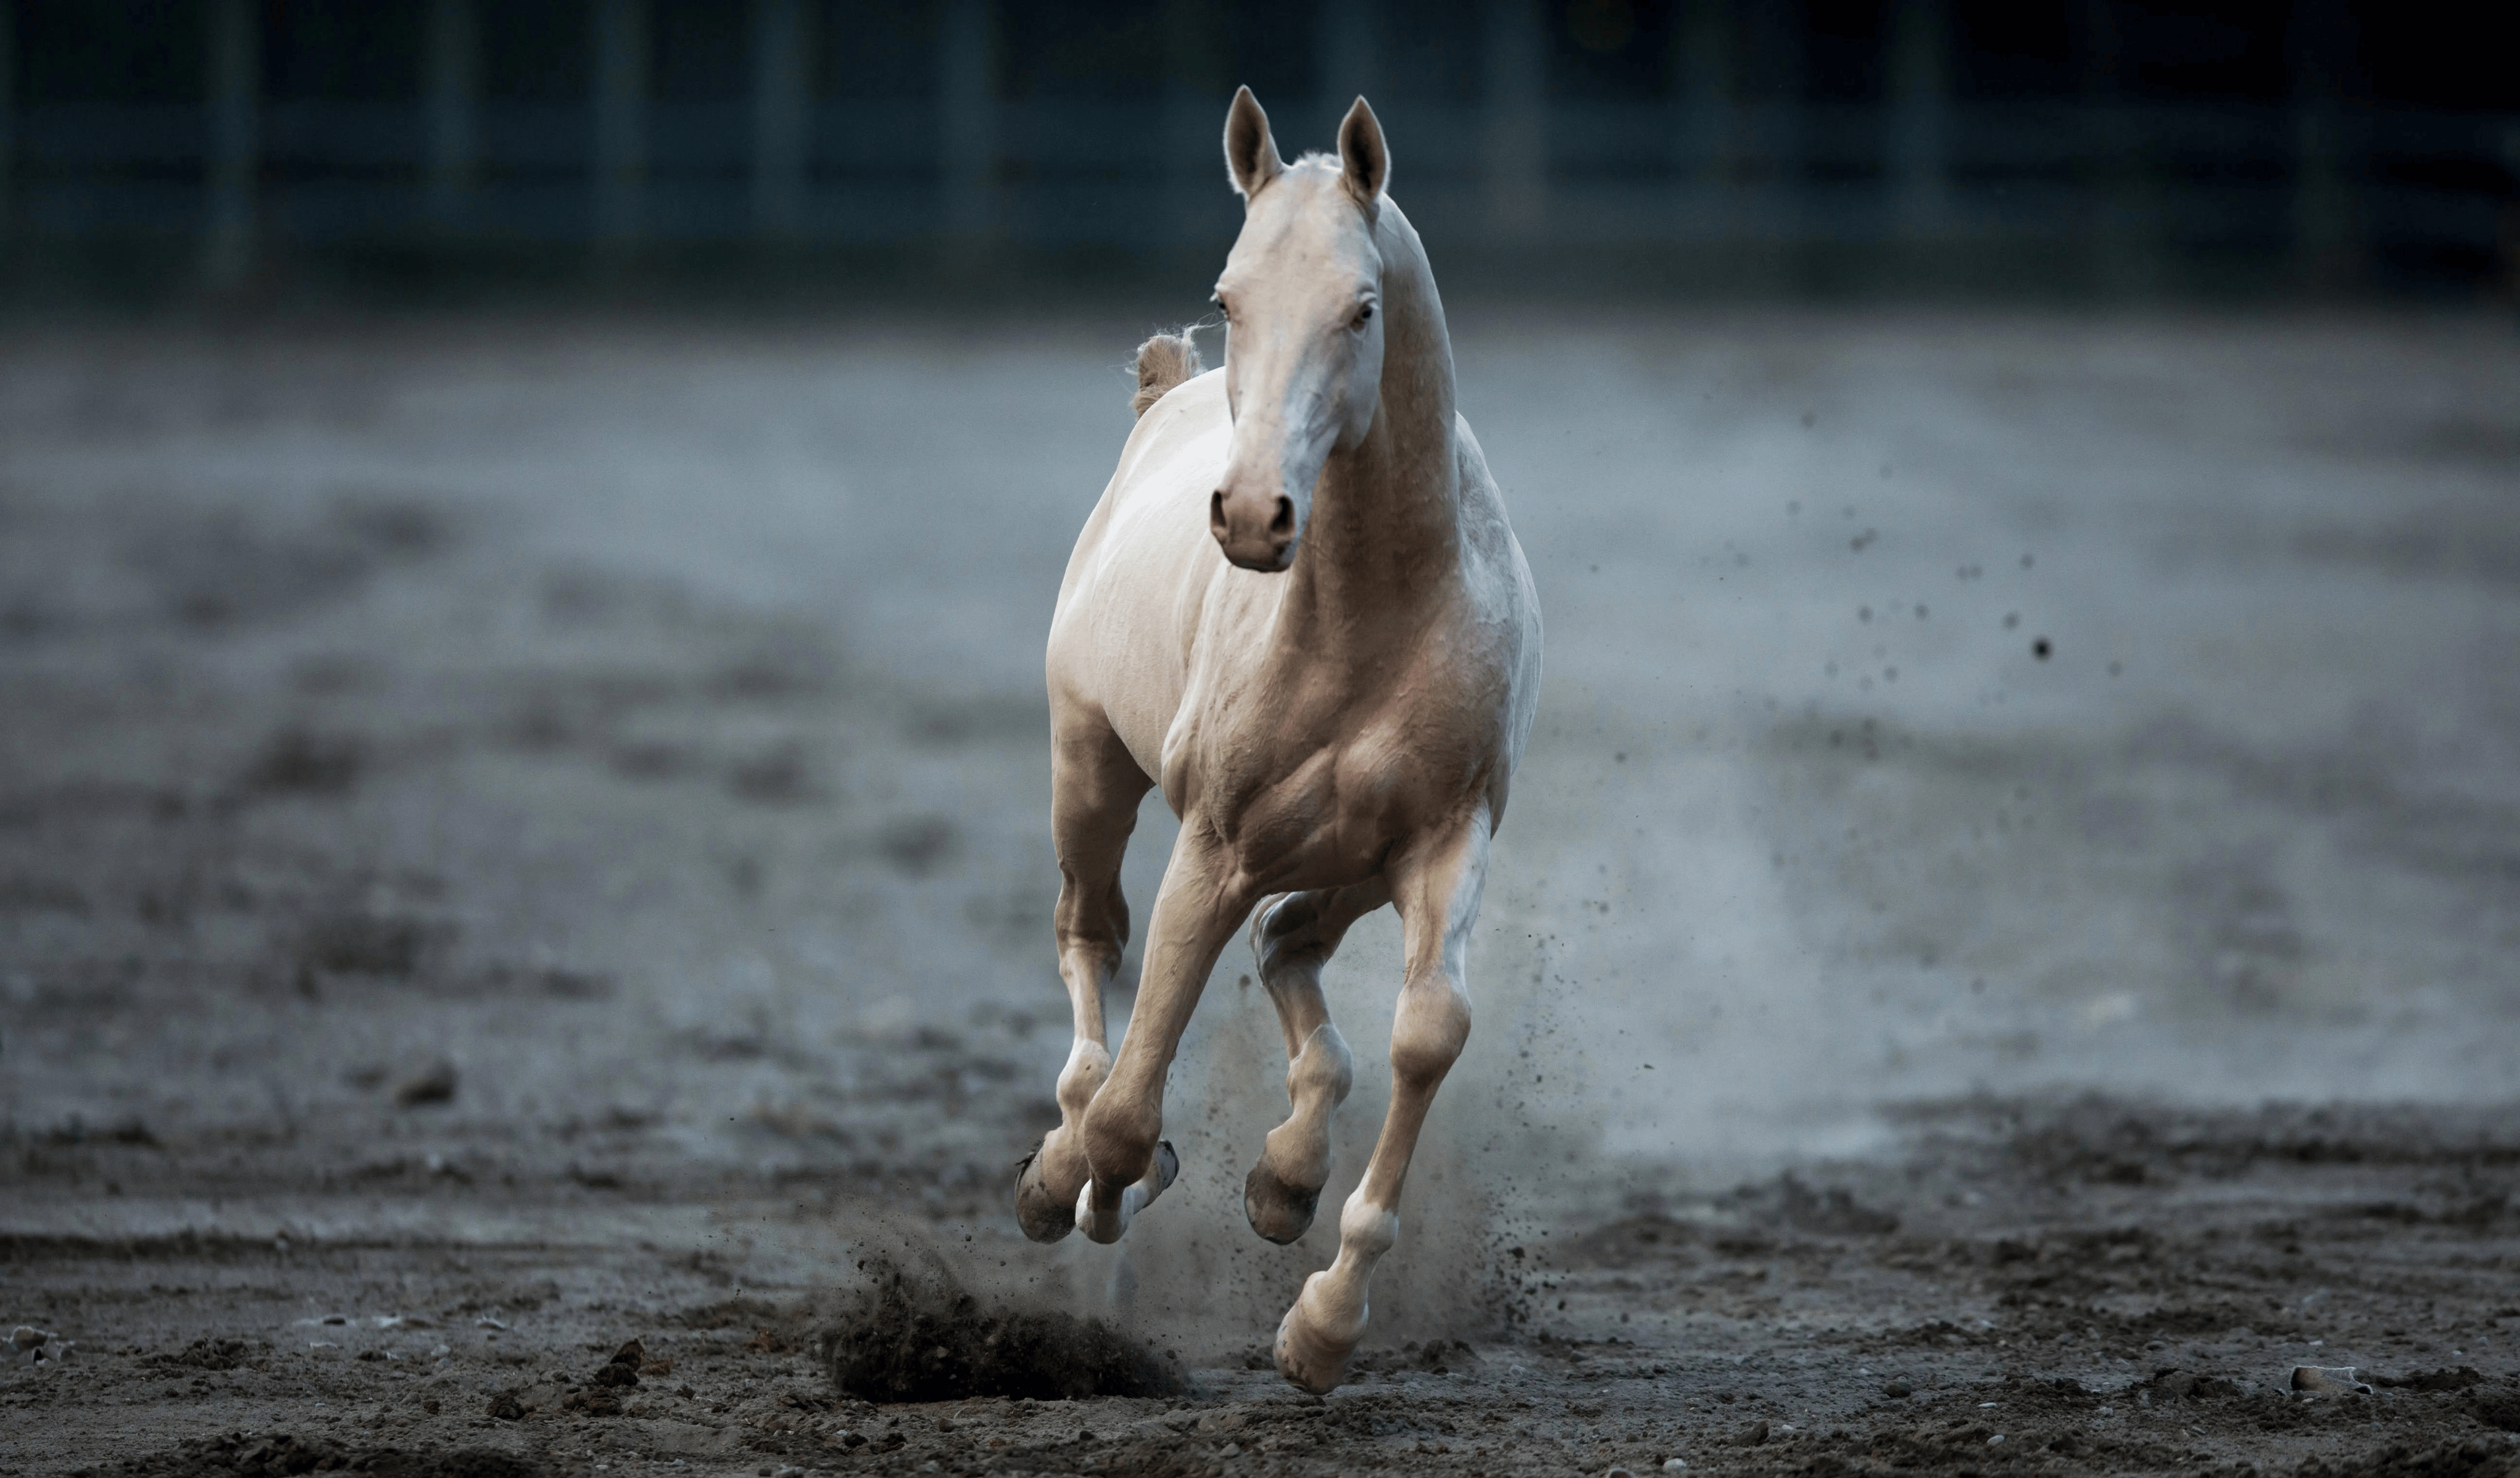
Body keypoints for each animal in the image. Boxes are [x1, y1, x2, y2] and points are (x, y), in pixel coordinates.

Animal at [1008, 83, 1532, 1392]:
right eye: (1229, 295)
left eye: (1360, 307)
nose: (1251, 516)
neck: (1371, 617)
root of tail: (1166, 397)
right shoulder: (1214, 844)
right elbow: (1131, 1101)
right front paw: (1092, 1181)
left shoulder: (1445, 839)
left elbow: (1426, 1032)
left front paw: (1321, 1319)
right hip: (1089, 772)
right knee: (1092, 939)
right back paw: (1063, 1167)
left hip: (1349, 862)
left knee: (1285, 945)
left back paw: (1283, 1178)